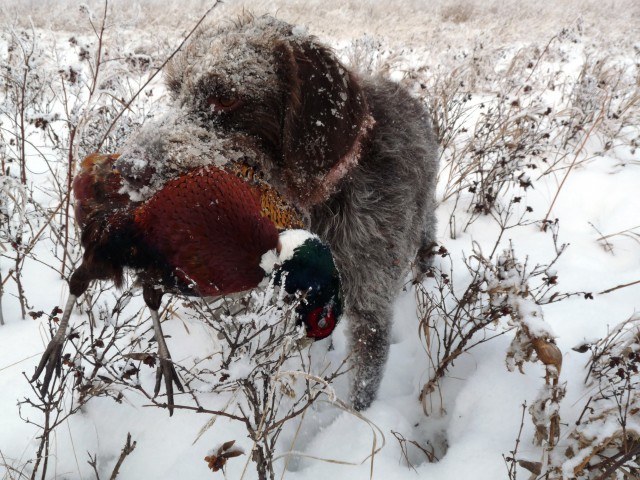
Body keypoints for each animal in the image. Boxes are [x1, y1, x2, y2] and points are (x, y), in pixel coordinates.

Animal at [120, 15, 440, 412]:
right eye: (174, 91)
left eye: (226, 96)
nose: (127, 169)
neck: (319, 202)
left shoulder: (372, 308)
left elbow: (363, 383)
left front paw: (355, 420)